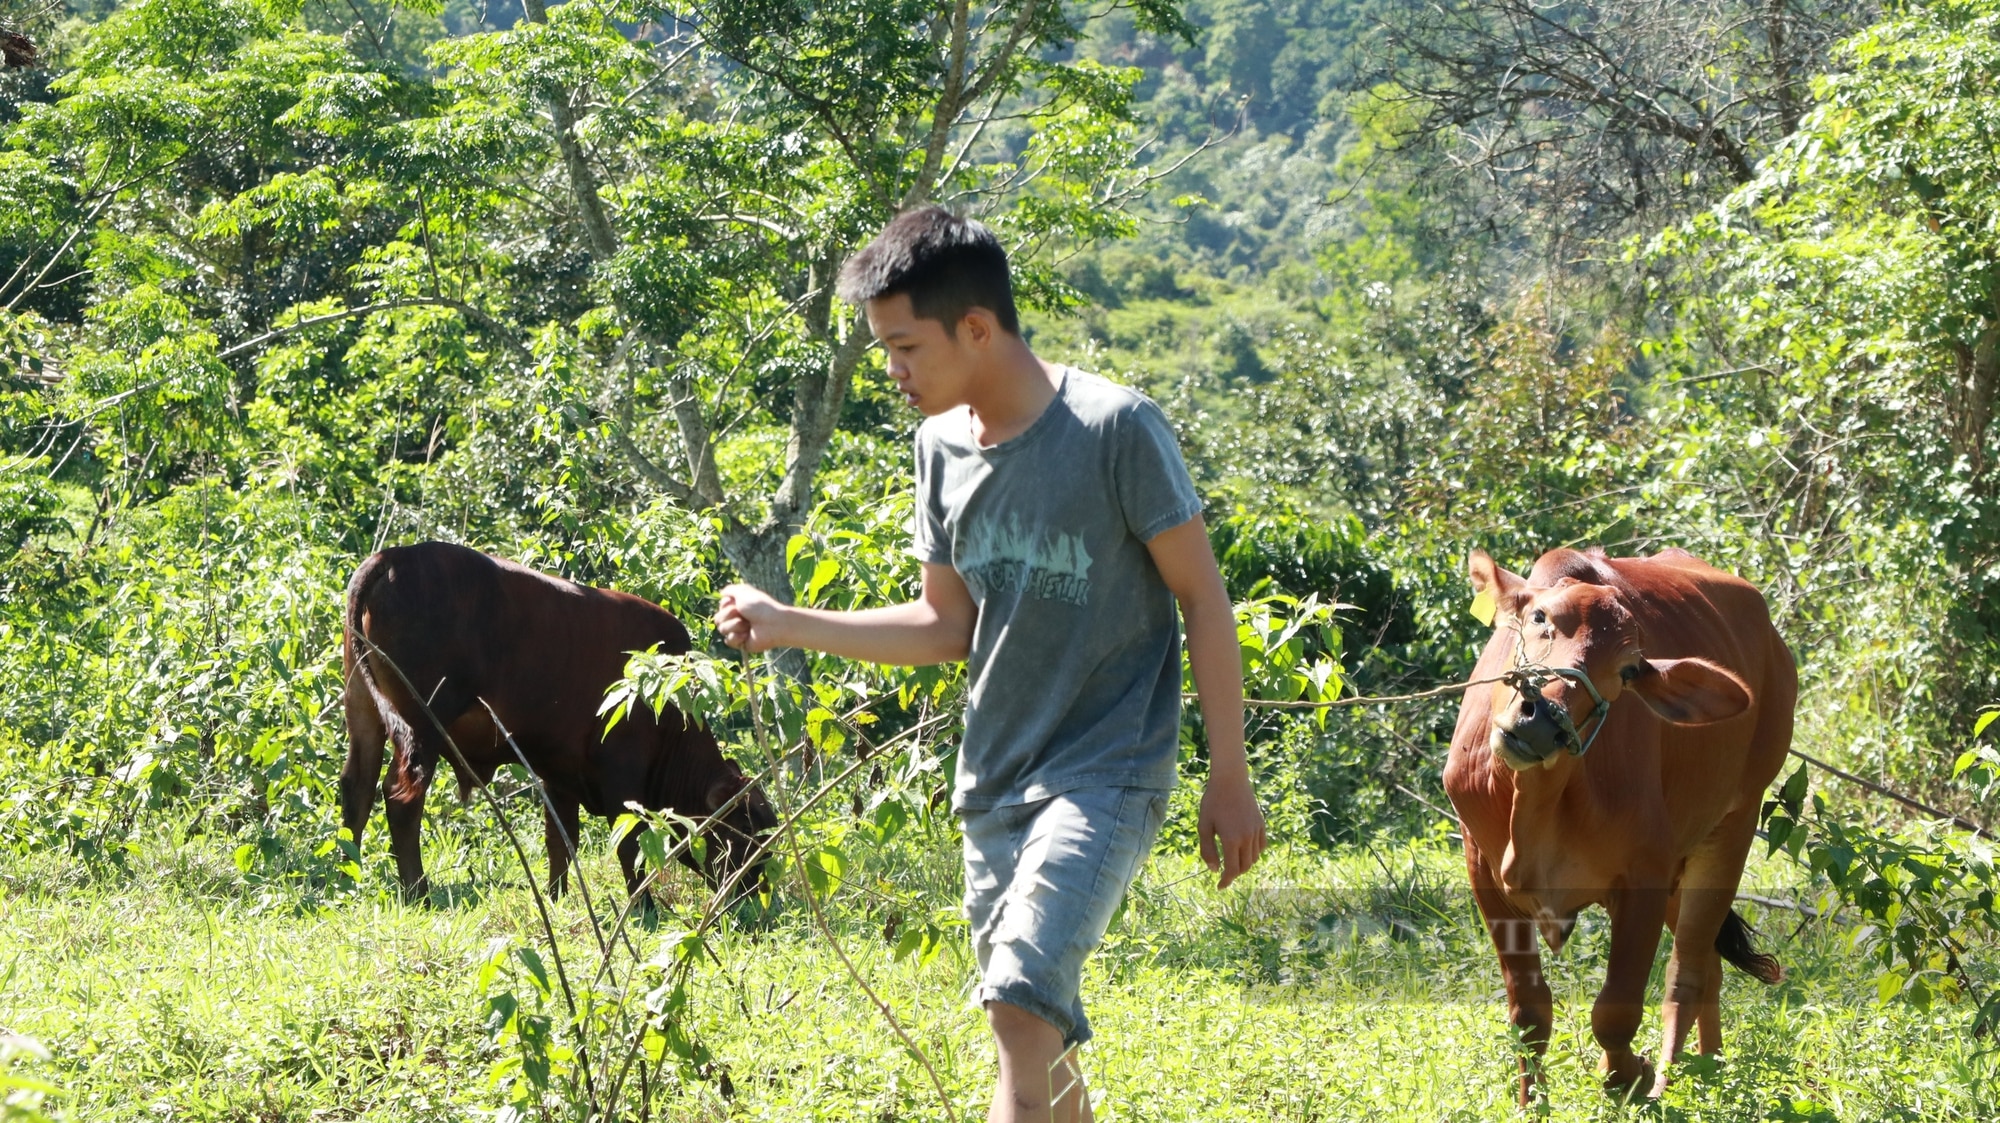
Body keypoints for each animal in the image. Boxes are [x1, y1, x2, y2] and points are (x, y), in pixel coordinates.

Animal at [336, 539, 772, 899]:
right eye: (745, 833)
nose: (757, 891)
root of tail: (393, 557)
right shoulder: (621, 775)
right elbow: (629, 844)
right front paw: (643, 905)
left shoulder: (559, 775)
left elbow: (561, 840)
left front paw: (557, 895)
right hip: (422, 725)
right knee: (401, 797)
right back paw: (417, 891)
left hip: (363, 710)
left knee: (357, 788)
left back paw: (345, 879)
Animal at [1448, 547, 1792, 1095]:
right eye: (1540, 617)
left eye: (1628, 670)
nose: (1539, 720)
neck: (1535, 806)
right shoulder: (1482, 870)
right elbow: (1529, 1014)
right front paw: (1531, 1103)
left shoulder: (1643, 876)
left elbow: (1615, 1013)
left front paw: (1630, 1076)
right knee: (1709, 966)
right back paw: (1710, 1067)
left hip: (1731, 828)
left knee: (1689, 969)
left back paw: (1672, 1080)